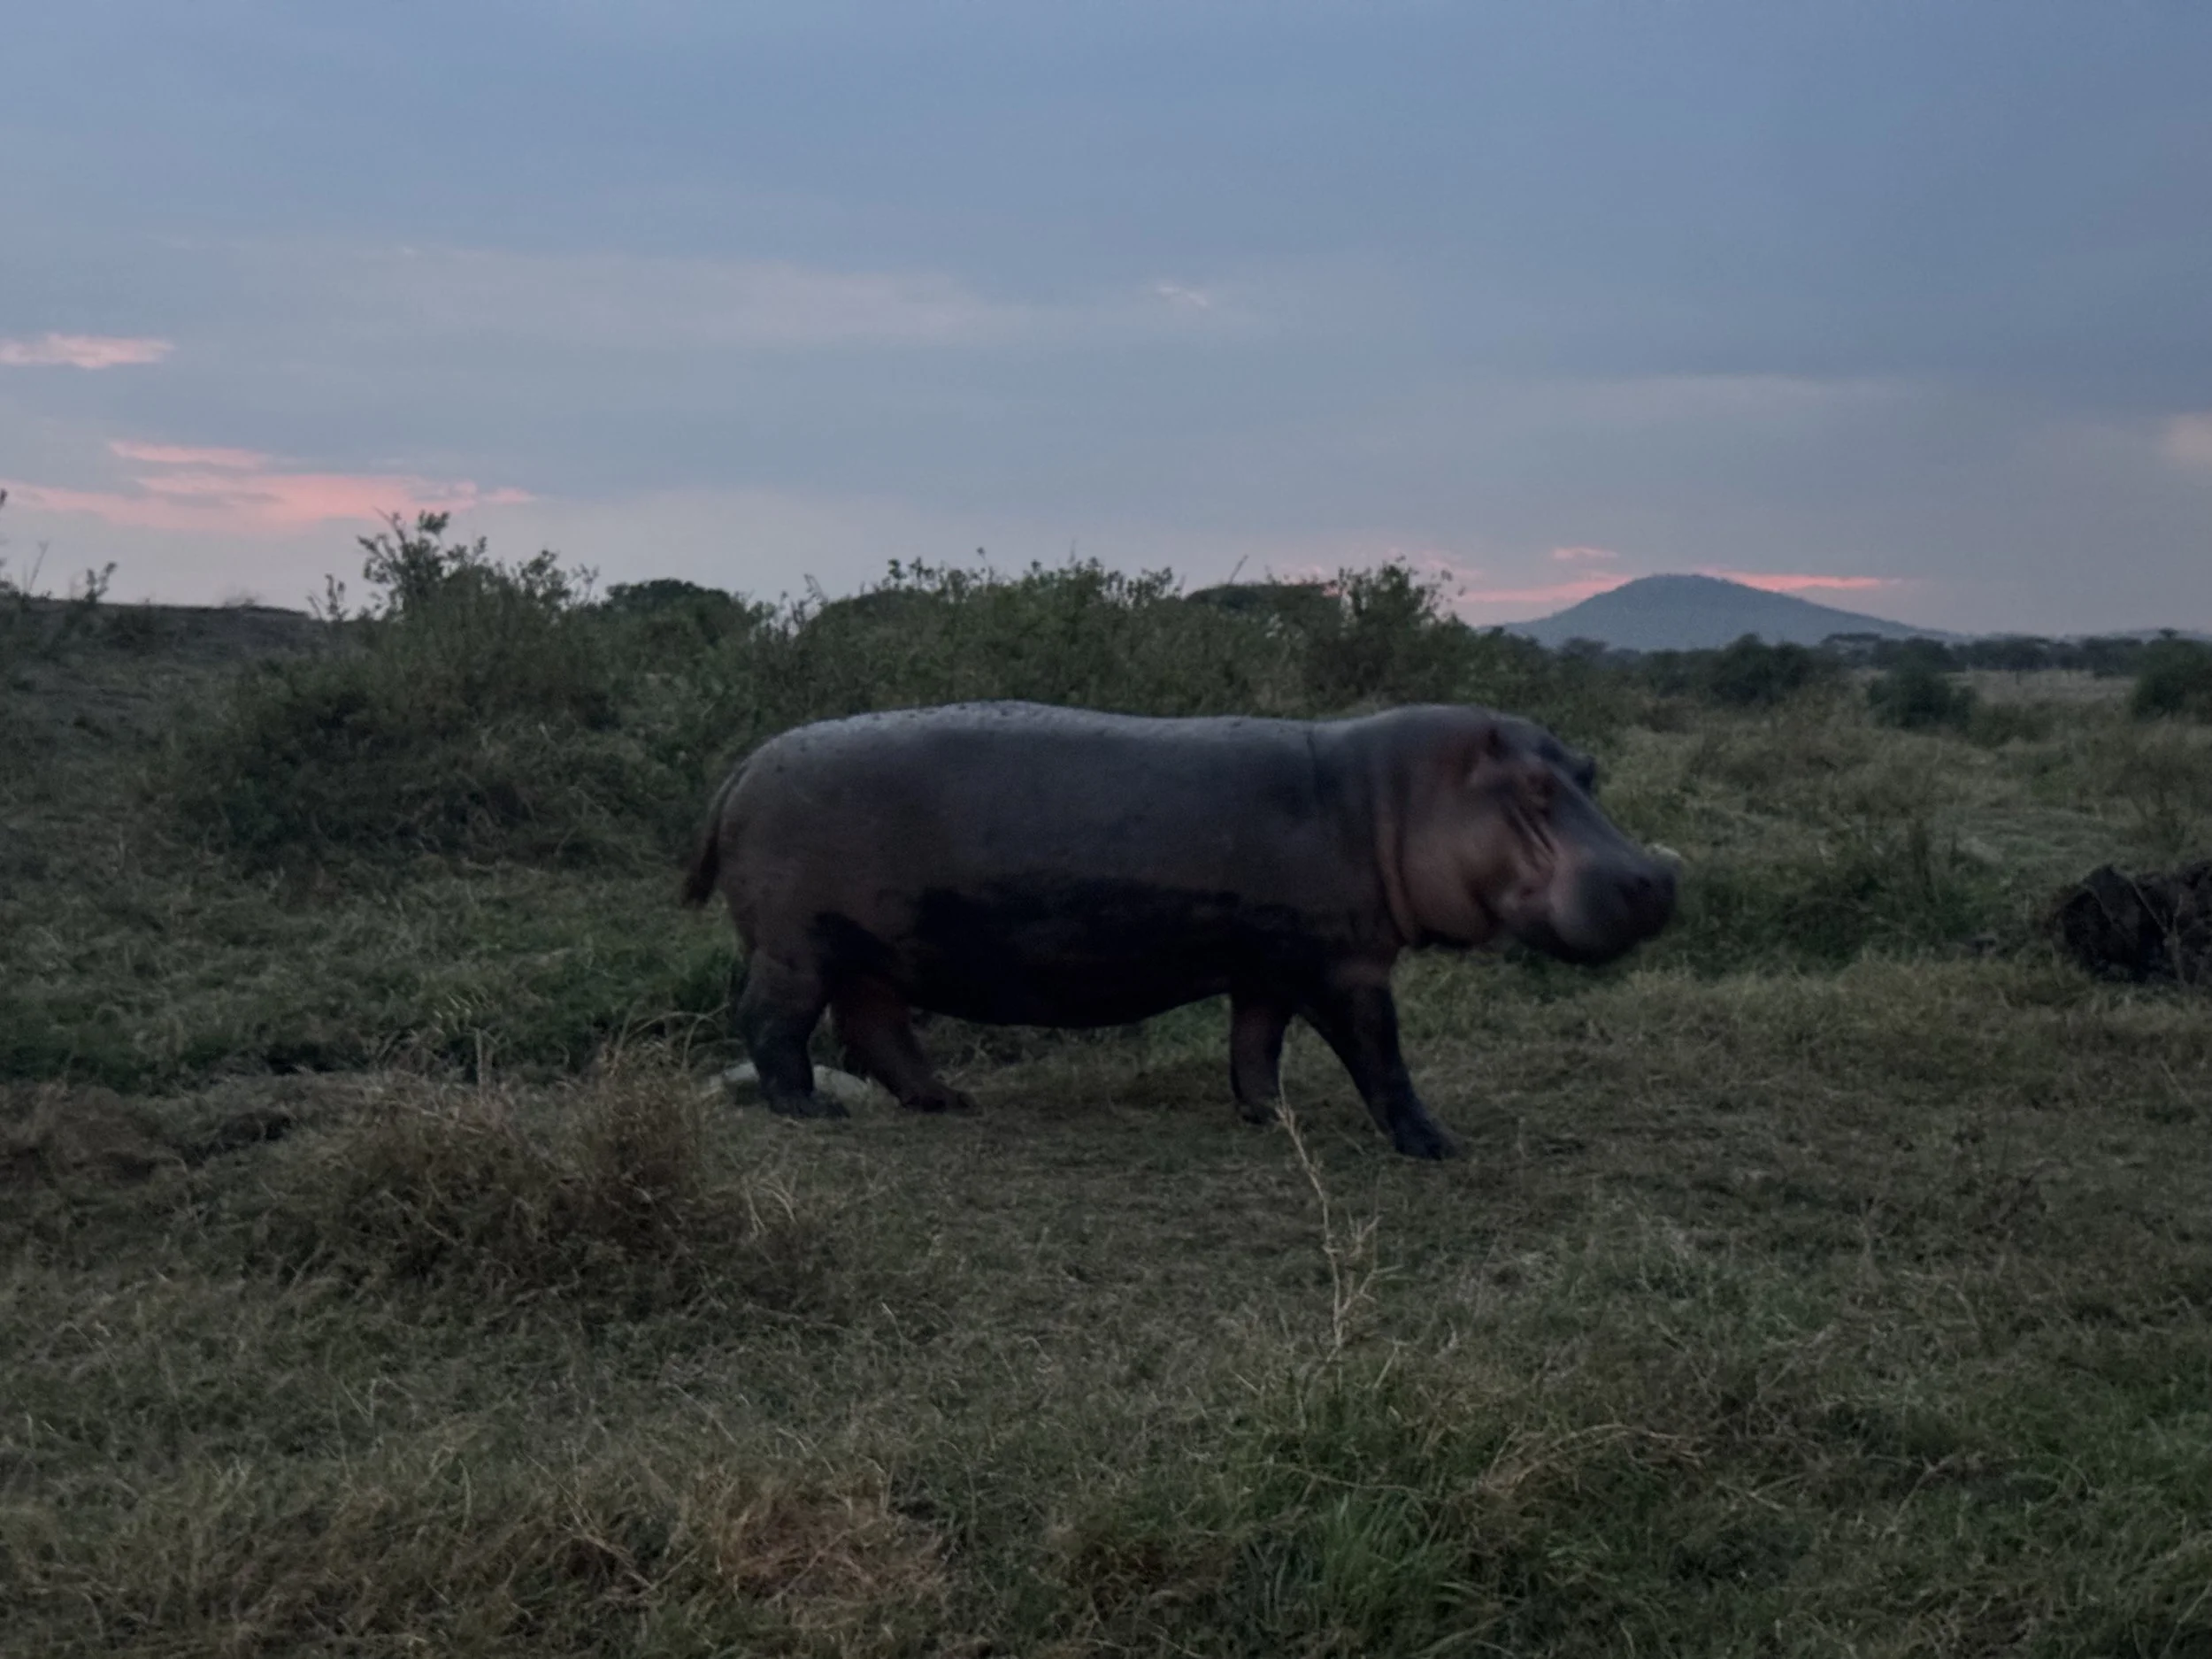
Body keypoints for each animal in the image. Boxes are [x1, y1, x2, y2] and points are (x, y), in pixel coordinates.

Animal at [681, 701, 1673, 1158]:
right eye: (1535, 789)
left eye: (1590, 768)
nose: (1656, 879)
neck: (1388, 801)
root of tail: (739, 770)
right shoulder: (1344, 965)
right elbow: (1380, 1055)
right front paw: (1435, 1145)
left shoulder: (1267, 965)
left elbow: (1256, 1045)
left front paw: (1273, 1116)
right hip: (798, 948)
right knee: (774, 1024)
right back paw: (808, 1108)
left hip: (875, 954)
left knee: (878, 1028)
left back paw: (947, 1100)